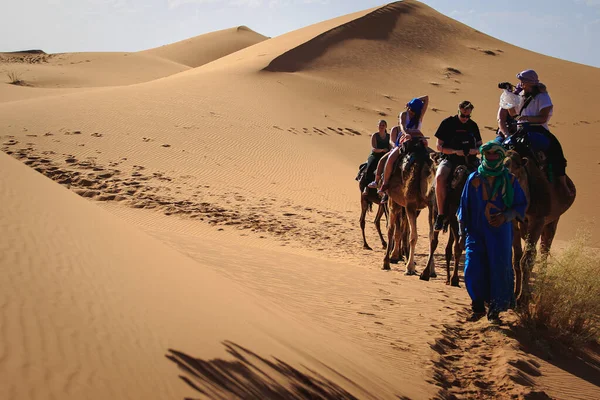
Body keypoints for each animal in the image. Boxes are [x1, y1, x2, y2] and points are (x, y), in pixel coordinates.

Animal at [384, 139, 436, 274]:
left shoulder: (431, 206)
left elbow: (432, 237)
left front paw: (431, 270)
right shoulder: (410, 205)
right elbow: (413, 236)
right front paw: (410, 267)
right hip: (394, 200)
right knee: (391, 229)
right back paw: (387, 262)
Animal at [506, 150, 576, 304]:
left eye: (517, 170)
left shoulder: (538, 219)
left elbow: (527, 259)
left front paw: (523, 298)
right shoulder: (513, 222)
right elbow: (516, 258)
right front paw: (515, 294)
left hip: (553, 220)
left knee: (544, 250)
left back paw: (540, 291)